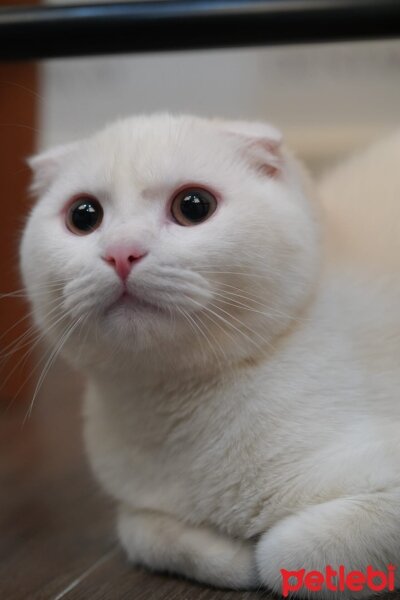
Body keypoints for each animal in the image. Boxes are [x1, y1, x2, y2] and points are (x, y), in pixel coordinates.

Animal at [20, 115, 400, 596]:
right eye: (83, 216)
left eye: (194, 206)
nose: (121, 252)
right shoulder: (137, 502)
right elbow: (143, 532)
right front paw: (228, 556)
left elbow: (287, 556)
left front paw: (256, 552)